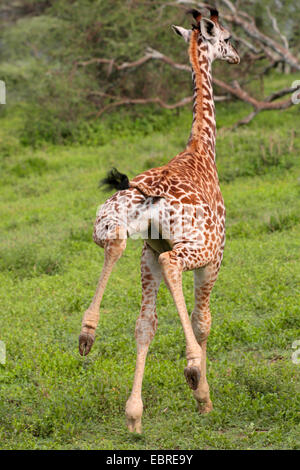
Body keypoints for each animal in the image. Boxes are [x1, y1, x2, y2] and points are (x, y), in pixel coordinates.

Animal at [78, 7, 240, 434]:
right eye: (228, 38)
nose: (237, 58)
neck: (203, 148)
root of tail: (148, 192)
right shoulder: (215, 257)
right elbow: (203, 321)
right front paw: (203, 395)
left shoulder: (149, 249)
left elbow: (145, 326)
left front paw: (135, 412)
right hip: (192, 249)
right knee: (174, 273)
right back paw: (195, 376)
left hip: (115, 226)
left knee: (121, 259)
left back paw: (88, 336)